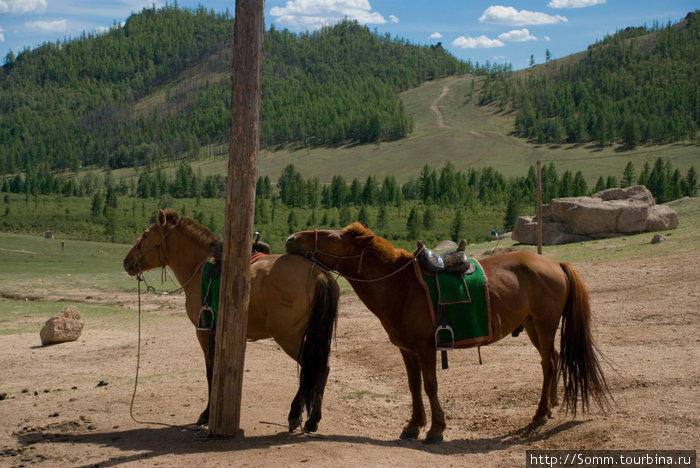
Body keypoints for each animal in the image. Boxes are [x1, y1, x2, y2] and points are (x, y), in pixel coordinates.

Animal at [123, 210, 340, 434]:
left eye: (146, 235)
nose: (126, 262)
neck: (198, 266)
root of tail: (319, 274)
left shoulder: (204, 331)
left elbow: (211, 372)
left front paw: (206, 414)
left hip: (289, 337)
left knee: (311, 367)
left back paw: (295, 415)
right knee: (322, 369)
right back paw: (312, 420)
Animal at [288, 222, 608, 442]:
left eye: (331, 237)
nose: (291, 239)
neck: (400, 286)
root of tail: (555, 263)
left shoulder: (426, 348)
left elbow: (430, 386)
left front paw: (436, 429)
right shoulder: (407, 350)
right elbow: (414, 386)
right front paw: (414, 425)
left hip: (544, 324)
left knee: (549, 363)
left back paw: (540, 413)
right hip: (532, 326)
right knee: (551, 360)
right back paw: (551, 405)